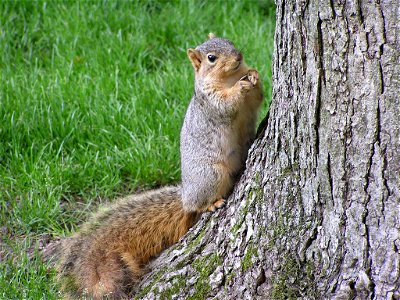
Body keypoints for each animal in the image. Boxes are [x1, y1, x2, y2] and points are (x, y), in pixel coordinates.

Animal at [55, 34, 262, 298]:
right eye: (211, 58)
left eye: (229, 41)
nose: (238, 56)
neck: (230, 77)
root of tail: (185, 195)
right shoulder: (211, 102)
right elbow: (227, 105)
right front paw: (239, 88)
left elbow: (257, 97)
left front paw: (254, 75)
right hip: (211, 175)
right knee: (198, 204)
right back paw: (210, 203)